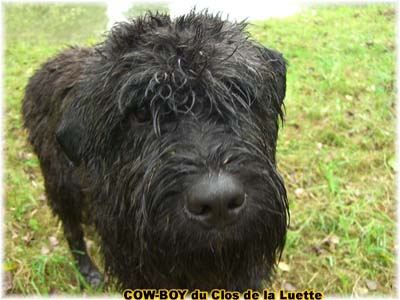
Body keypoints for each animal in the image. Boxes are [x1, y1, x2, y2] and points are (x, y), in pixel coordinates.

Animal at [21, 11, 290, 290]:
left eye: (237, 93)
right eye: (140, 113)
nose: (218, 202)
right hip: (61, 186)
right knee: (71, 228)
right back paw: (88, 270)